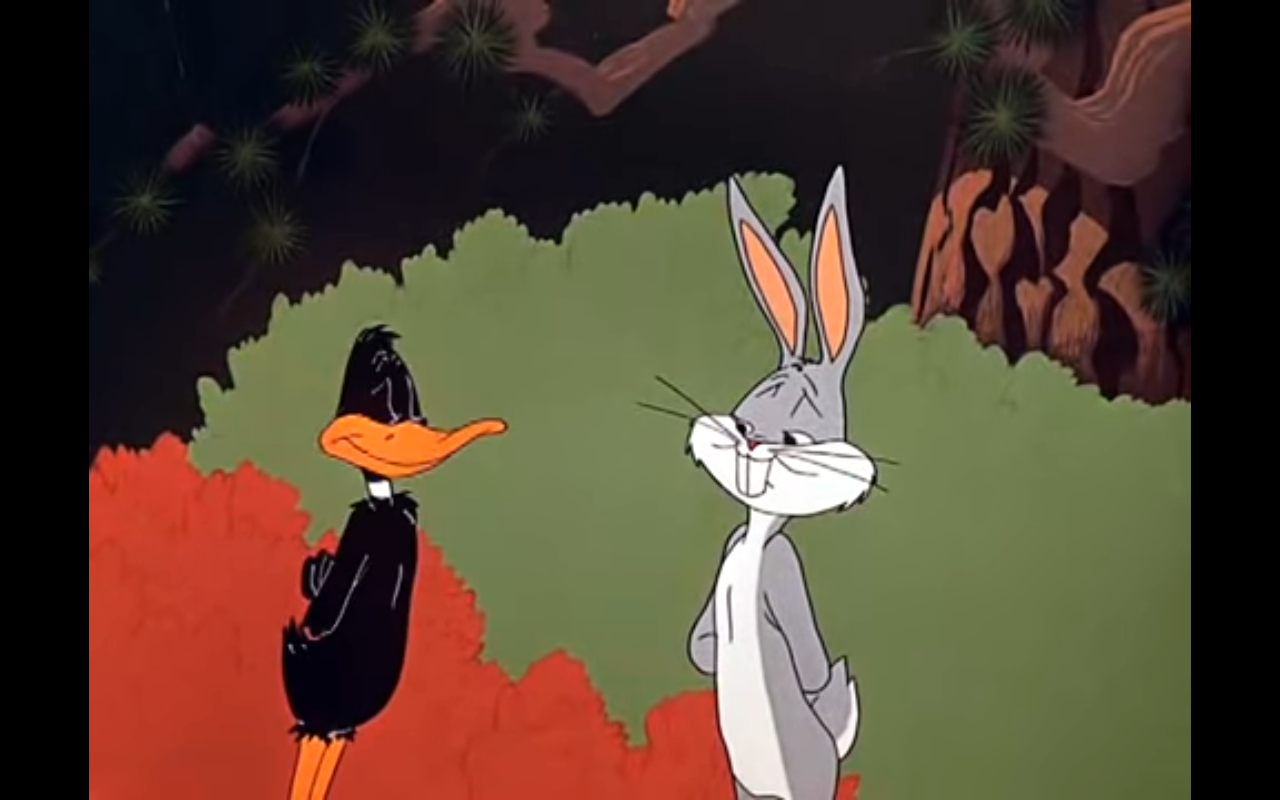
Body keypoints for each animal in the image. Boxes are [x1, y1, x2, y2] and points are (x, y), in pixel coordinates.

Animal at [686, 167, 875, 800]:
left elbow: (811, 665)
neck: (756, 540)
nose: (750, 445)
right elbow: (701, 645)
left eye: (793, 438)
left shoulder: (785, 569)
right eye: (745, 423)